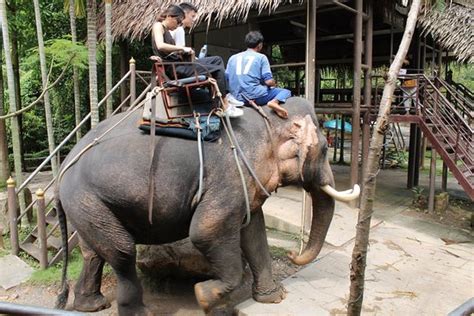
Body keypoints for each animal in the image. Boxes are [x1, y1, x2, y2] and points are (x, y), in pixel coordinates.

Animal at [54, 97, 360, 314]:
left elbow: (254, 233)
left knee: (93, 253)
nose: (294, 255)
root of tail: (63, 168)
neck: (267, 118)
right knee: (122, 251)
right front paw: (203, 296)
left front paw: (274, 298)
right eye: (324, 148)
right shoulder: (231, 173)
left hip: (86, 205)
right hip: (85, 197)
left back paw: (92, 306)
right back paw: (139, 312)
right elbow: (206, 231)